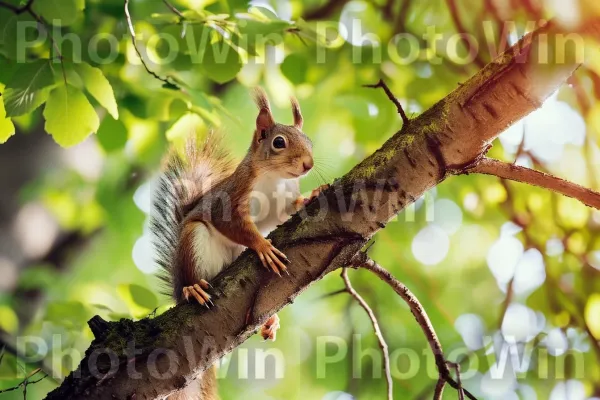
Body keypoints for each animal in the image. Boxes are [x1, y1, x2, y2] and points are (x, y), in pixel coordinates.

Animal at [150, 88, 328, 400]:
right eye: (278, 142)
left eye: (309, 142)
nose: (308, 164)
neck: (274, 179)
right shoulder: (232, 201)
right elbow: (238, 228)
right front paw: (263, 247)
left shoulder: (281, 206)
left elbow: (290, 208)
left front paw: (313, 195)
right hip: (193, 242)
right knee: (188, 280)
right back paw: (192, 289)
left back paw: (269, 320)